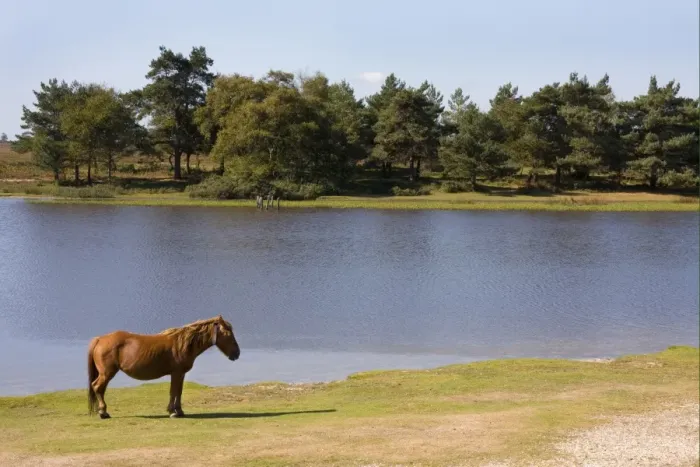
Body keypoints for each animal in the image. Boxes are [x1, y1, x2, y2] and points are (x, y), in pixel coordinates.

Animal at [87, 315, 241, 419]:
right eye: (227, 333)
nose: (237, 353)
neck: (182, 344)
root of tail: (100, 339)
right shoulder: (176, 373)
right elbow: (173, 392)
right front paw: (172, 411)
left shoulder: (181, 374)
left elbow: (179, 392)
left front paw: (179, 411)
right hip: (107, 373)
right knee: (97, 387)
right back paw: (103, 412)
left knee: (100, 389)